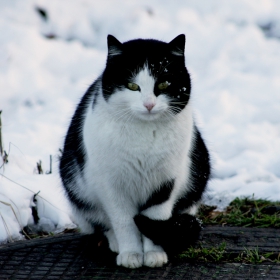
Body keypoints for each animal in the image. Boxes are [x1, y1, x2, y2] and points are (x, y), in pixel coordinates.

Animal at [59, 34, 212, 268]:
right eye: (132, 86)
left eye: (164, 83)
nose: (149, 104)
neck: (144, 136)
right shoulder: (111, 185)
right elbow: (124, 222)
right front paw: (131, 254)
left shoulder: (166, 182)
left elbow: (156, 218)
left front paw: (154, 254)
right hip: (76, 187)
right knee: (99, 223)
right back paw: (114, 242)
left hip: (200, 168)